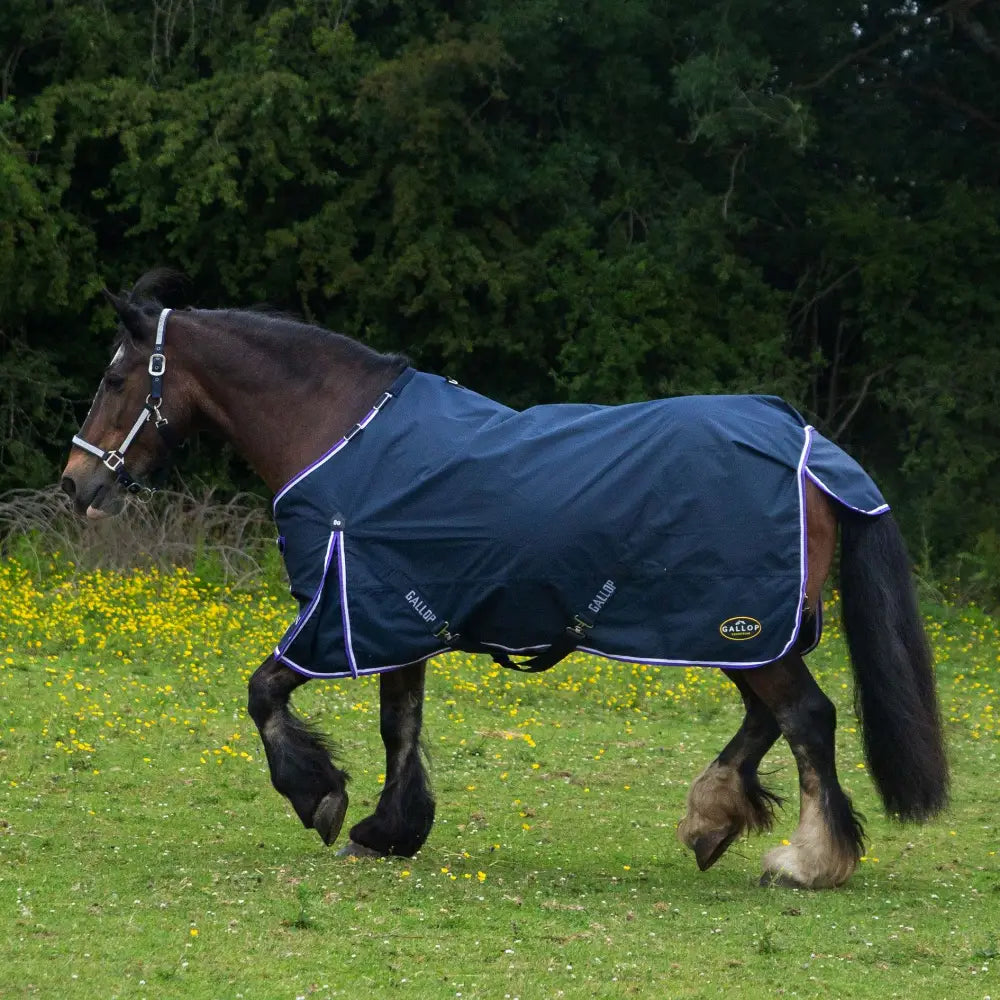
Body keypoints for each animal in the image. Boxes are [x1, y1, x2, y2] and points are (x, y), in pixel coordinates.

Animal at [59, 277, 949, 889]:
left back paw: (806, 861)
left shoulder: (344, 617)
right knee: (769, 719)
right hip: (733, 628)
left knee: (807, 717)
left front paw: (321, 799)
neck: (341, 434)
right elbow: (399, 724)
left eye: (114, 380)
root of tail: (810, 444)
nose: (75, 484)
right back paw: (711, 819)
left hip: (737, 623)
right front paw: (391, 828)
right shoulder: (400, 618)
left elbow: (265, 693)